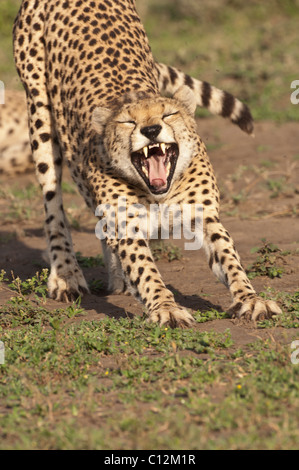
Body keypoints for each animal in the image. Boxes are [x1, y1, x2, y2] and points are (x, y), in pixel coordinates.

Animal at [12, 0, 284, 326]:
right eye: (128, 122)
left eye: (169, 114)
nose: (151, 130)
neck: (159, 194)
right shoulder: (127, 224)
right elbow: (145, 269)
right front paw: (166, 308)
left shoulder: (205, 216)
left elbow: (230, 259)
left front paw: (251, 299)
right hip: (39, 113)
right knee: (54, 207)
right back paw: (67, 275)